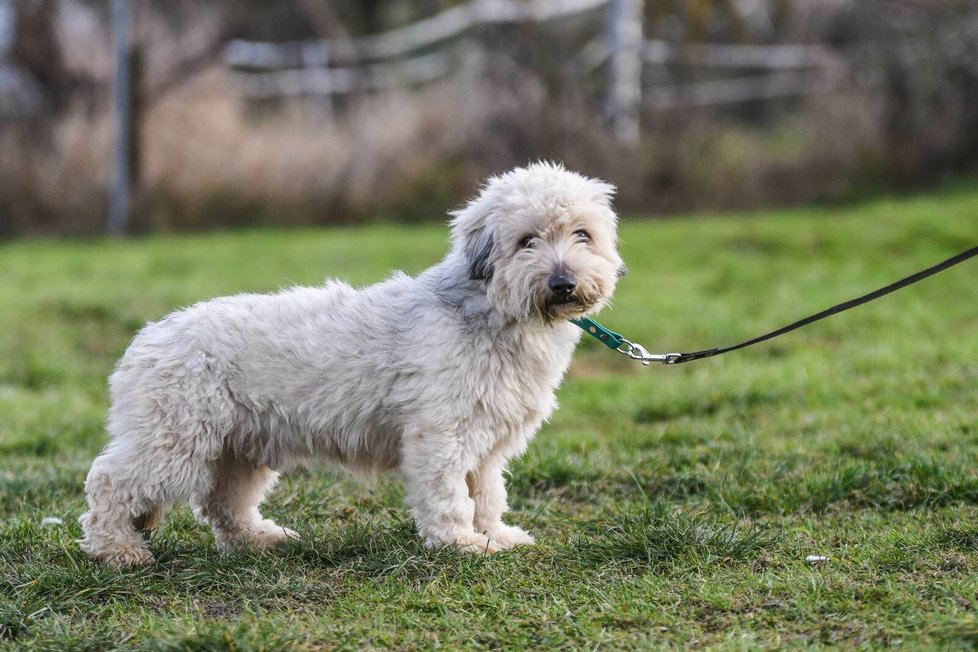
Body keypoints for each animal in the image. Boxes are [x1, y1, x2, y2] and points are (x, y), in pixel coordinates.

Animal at [80, 162, 620, 564]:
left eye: (582, 235)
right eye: (527, 240)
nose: (563, 284)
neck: (492, 312)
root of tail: (148, 339)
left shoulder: (486, 445)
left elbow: (486, 495)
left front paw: (495, 535)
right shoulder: (441, 436)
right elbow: (449, 496)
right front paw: (460, 543)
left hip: (238, 449)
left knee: (223, 505)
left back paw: (259, 540)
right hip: (173, 444)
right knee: (108, 481)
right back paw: (118, 550)